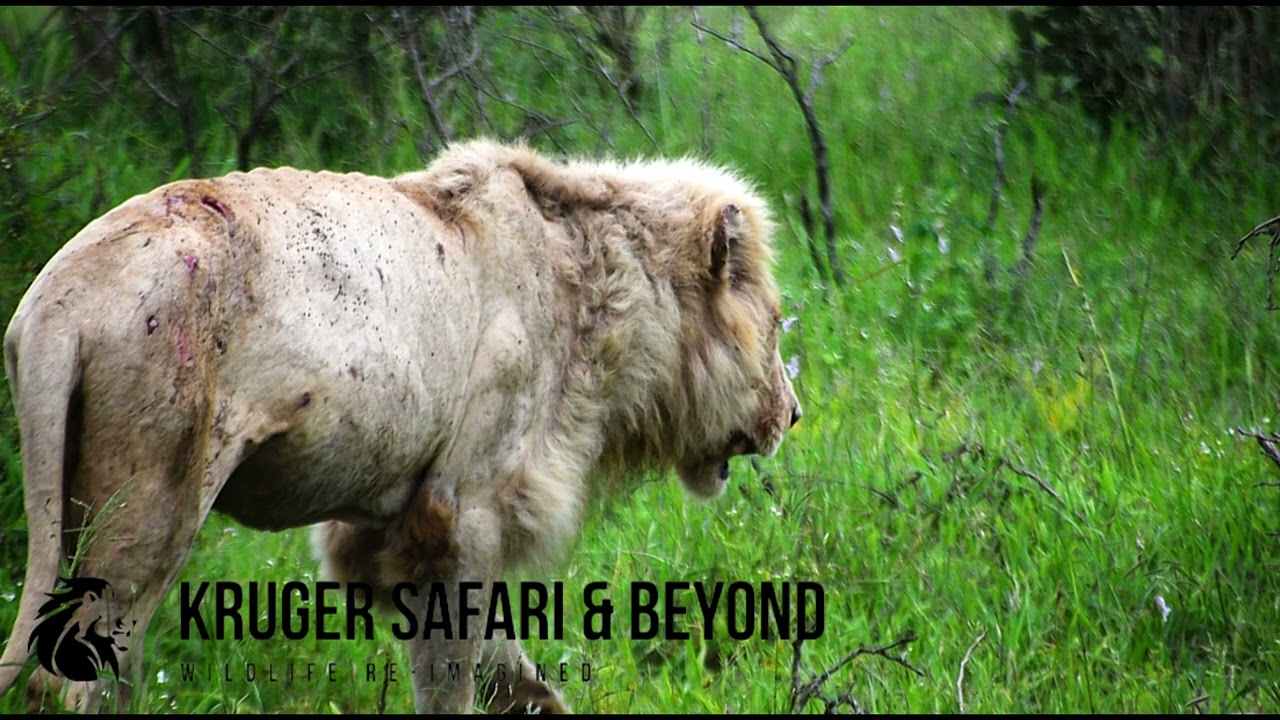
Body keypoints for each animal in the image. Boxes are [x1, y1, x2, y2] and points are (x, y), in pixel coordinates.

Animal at [0, 138, 801, 713]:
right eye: (773, 323)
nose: (793, 414)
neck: (599, 287)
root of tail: (60, 300)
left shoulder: (394, 521)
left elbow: (509, 671)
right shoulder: (460, 511)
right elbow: (452, 677)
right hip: (152, 503)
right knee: (65, 678)